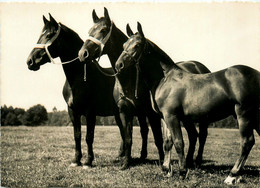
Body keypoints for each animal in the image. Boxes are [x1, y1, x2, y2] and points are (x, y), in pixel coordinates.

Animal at [25, 13, 128, 168]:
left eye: (49, 34)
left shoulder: (90, 112)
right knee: (123, 132)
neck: (78, 79)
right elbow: (77, 135)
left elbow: (89, 136)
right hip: (117, 113)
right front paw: (76, 160)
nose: (30, 61)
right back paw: (120, 157)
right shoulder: (72, 111)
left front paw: (88, 161)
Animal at [78, 7, 212, 169]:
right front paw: (126, 163)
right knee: (193, 135)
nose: (82, 54)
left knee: (201, 135)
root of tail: (199, 66)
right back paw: (189, 161)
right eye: (90, 30)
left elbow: (158, 138)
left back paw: (196, 160)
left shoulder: (151, 114)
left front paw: (162, 162)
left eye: (103, 30)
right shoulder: (126, 111)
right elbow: (128, 137)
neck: (130, 79)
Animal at [115, 22, 260, 185]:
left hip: (244, 114)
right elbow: (167, 142)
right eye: (124, 44)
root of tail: (257, 74)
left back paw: (232, 175)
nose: (119, 65)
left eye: (137, 45)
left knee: (247, 142)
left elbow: (179, 142)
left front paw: (182, 172)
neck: (165, 79)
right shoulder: (164, 117)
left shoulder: (172, 116)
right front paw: (166, 170)